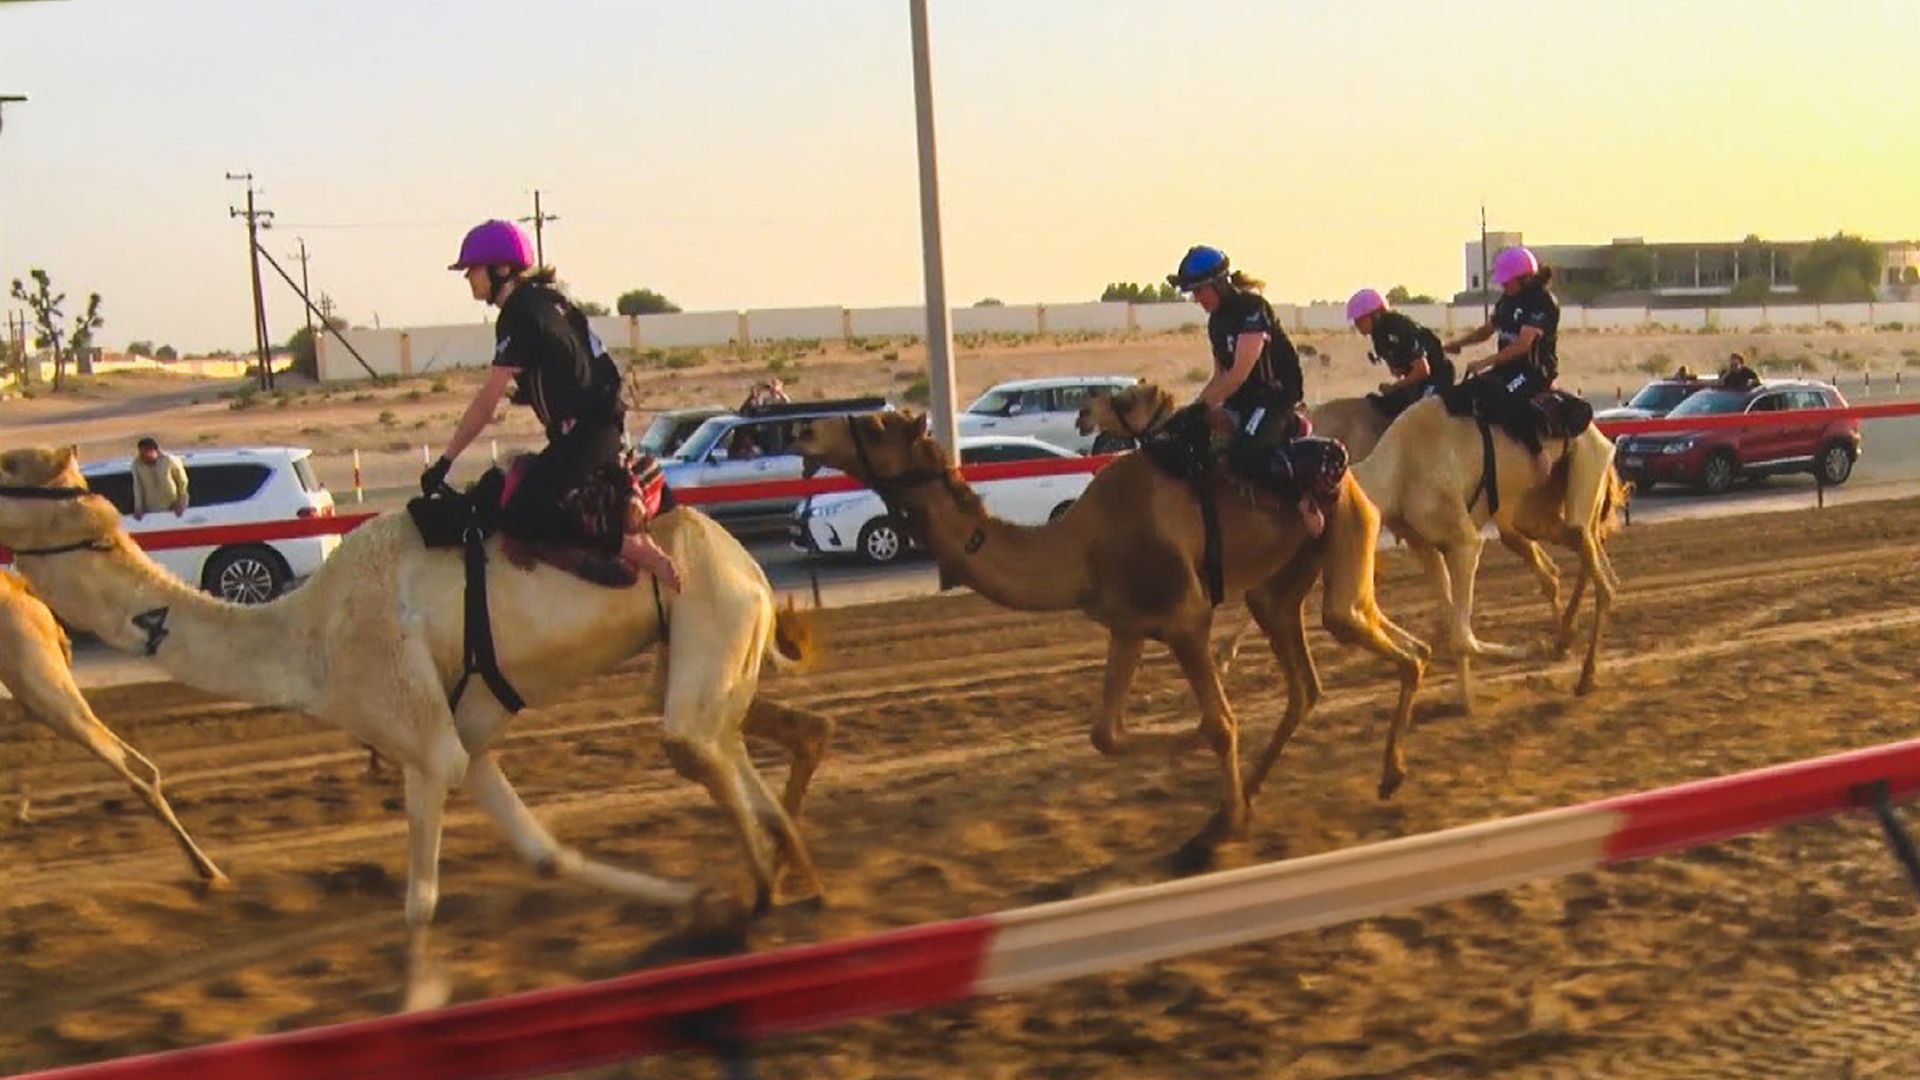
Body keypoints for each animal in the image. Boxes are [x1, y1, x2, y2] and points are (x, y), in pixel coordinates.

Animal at [0, 441, 833, 1006]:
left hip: (711, 610)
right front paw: (689, 901)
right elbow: (546, 855)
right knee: (736, 737)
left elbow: (420, 902)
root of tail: (749, 565)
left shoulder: (423, 744)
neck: (307, 641)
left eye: (11, 467)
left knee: (698, 746)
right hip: (712, 640)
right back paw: (792, 880)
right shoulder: (463, 739)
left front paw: (412, 1001)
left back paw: (766, 889)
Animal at [791, 405, 1428, 864]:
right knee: (1309, 677)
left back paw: (1387, 771)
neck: (1081, 547)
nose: (804, 430)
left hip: (1347, 528)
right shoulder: (1128, 627)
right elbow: (1106, 734)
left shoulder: (1186, 617)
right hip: (1278, 583)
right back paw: (1271, 787)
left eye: (875, 426)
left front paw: (1217, 830)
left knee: (1374, 638)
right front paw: (1212, 794)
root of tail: (1349, 467)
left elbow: (1219, 723)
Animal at [1082, 382, 1620, 711]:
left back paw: (1581, 667)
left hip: (1574, 486)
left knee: (1598, 570)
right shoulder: (1426, 542)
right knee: (1578, 562)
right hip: (1535, 509)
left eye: (1128, 397)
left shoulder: (1461, 539)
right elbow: (1451, 624)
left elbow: (1461, 632)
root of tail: (1600, 428)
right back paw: (1567, 645)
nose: (1085, 415)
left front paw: (1520, 654)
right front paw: (1464, 701)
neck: (1392, 469)